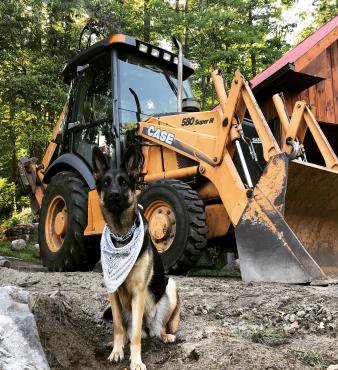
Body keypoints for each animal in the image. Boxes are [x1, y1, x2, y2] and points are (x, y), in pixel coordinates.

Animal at [92, 146, 181, 368]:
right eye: (106, 182)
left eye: (123, 182)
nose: (114, 195)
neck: (122, 236)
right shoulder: (112, 292)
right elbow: (117, 327)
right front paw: (116, 351)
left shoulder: (138, 293)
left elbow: (136, 338)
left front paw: (136, 361)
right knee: (128, 330)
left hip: (170, 287)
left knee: (157, 329)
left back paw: (165, 336)